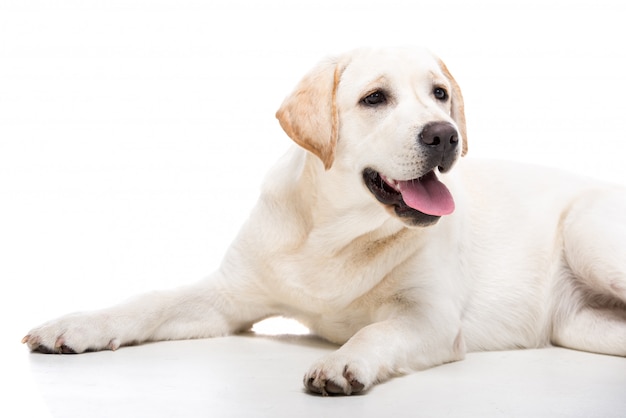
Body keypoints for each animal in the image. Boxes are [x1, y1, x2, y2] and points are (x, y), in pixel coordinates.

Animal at [22, 46, 624, 396]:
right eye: (375, 98)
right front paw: (75, 326)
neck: (334, 236)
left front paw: (344, 361)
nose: (445, 134)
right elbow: (147, 301)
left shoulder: (429, 317)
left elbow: (378, 329)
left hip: (587, 234)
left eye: (440, 94)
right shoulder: (227, 296)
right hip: (582, 324)